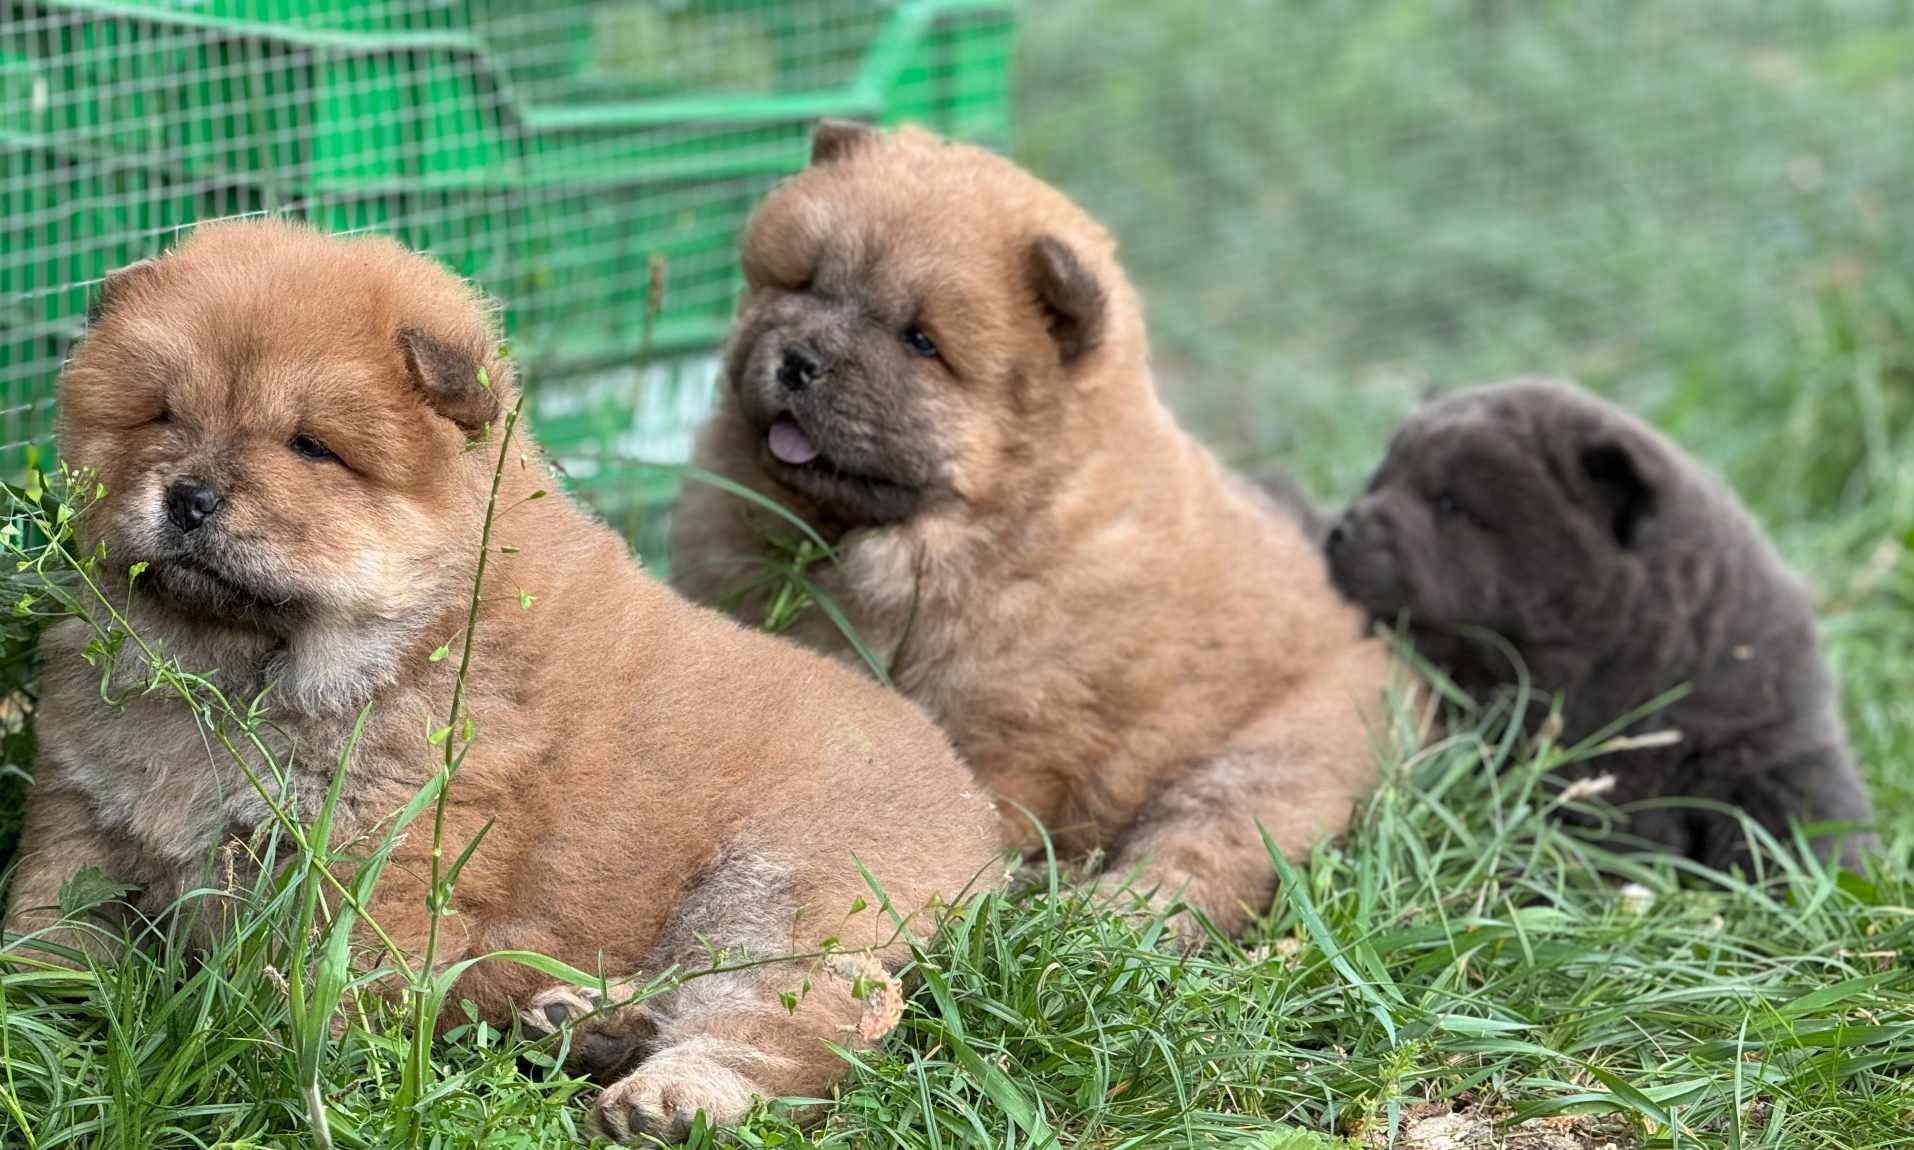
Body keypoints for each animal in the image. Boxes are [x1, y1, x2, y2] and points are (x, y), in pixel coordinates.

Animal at [7, 217, 1002, 1140]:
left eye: (311, 447)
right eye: (162, 415)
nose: (190, 497)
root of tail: (979, 808)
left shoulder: (378, 861)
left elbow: (313, 987)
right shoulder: (82, 811)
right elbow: (52, 923)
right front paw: (38, 1011)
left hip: (781, 885)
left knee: (810, 1016)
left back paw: (669, 1097)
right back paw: (583, 1021)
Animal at [669, 121, 1393, 937]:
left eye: (920, 342)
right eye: (803, 284)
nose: (799, 359)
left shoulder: (1012, 738)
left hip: (1278, 752)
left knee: (1199, 851)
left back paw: (1101, 917)